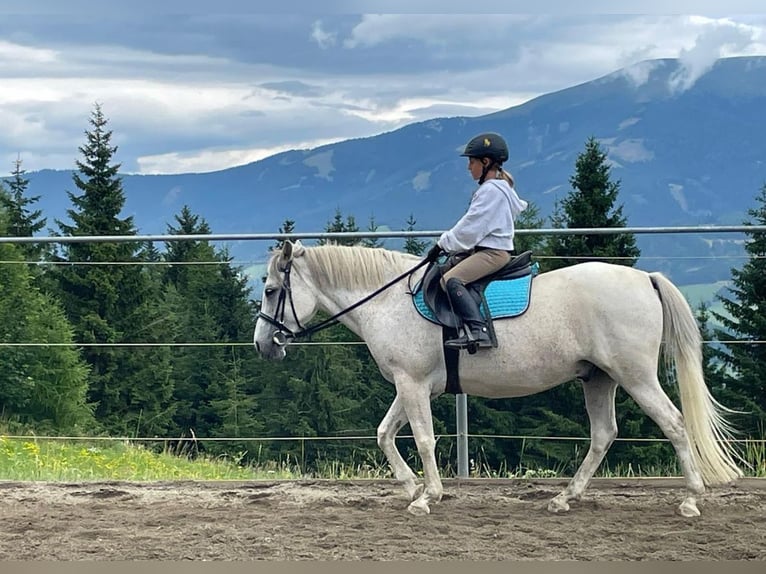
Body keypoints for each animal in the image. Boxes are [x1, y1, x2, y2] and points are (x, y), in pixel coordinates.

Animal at [253, 240, 743, 517]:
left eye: (272, 291)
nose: (263, 345)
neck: (389, 300)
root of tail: (645, 278)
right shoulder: (411, 384)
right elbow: (384, 434)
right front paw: (411, 487)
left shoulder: (412, 384)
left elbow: (424, 439)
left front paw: (427, 497)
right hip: (599, 379)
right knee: (604, 434)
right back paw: (565, 498)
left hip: (635, 375)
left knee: (674, 425)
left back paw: (691, 500)